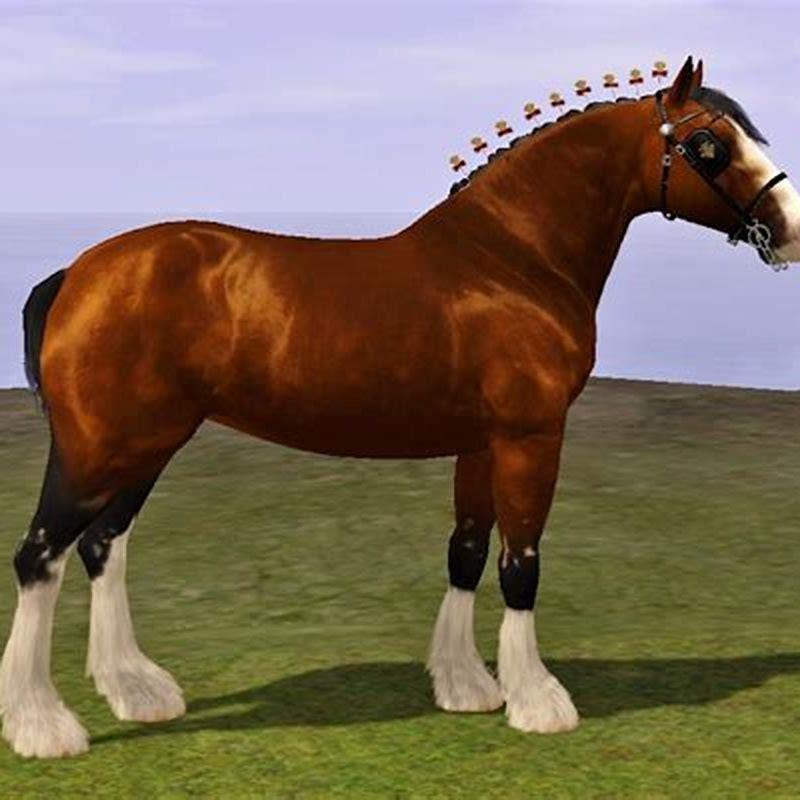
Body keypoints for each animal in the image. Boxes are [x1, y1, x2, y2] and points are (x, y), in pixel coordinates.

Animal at [1, 56, 798, 758]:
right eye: (709, 144)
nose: (789, 230)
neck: (511, 259)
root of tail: (78, 271)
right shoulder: (531, 437)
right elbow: (520, 562)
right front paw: (538, 701)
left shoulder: (481, 441)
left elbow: (467, 550)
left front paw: (466, 685)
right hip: (101, 448)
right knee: (40, 556)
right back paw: (45, 727)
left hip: (149, 445)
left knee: (103, 546)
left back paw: (135, 691)